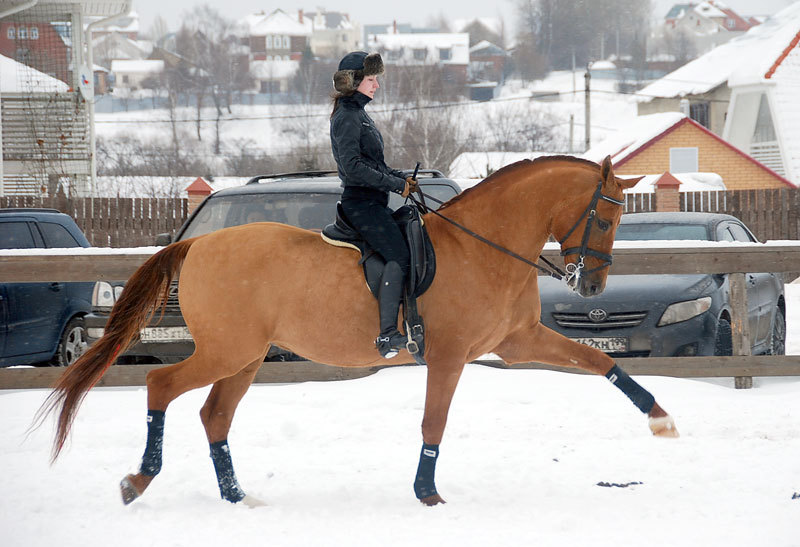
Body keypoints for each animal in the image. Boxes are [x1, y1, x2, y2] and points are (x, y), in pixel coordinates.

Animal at [37, 154, 680, 506]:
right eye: (607, 217)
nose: (591, 287)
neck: (483, 246)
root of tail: (196, 244)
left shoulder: (517, 343)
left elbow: (600, 363)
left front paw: (660, 418)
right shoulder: (449, 356)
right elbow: (433, 423)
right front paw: (428, 494)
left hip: (244, 358)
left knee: (214, 415)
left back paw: (240, 499)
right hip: (227, 350)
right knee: (161, 386)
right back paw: (139, 480)